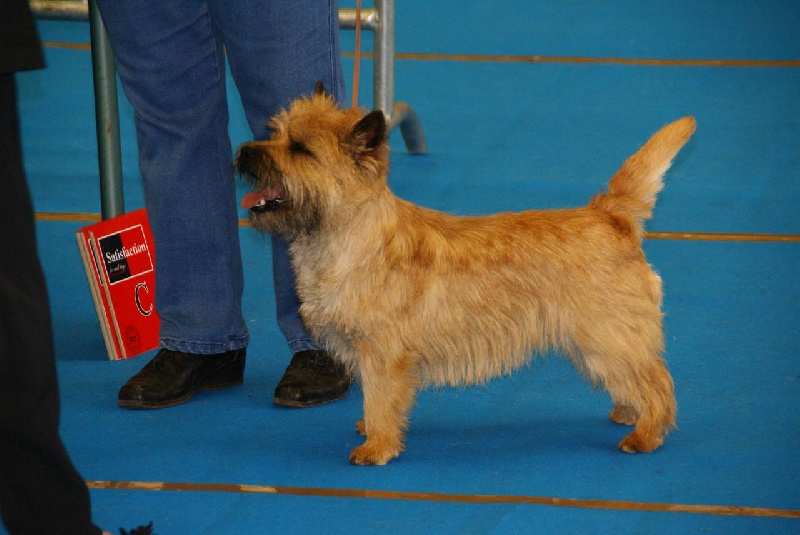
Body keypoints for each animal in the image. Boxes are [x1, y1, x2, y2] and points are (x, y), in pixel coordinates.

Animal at [236, 84, 692, 464]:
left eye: (300, 149)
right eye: (274, 132)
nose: (243, 152)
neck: (347, 237)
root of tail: (609, 214)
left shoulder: (382, 351)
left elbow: (380, 397)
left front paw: (377, 446)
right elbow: (374, 397)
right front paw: (371, 430)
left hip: (606, 335)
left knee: (658, 380)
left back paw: (646, 433)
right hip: (596, 341)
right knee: (637, 376)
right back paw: (628, 412)